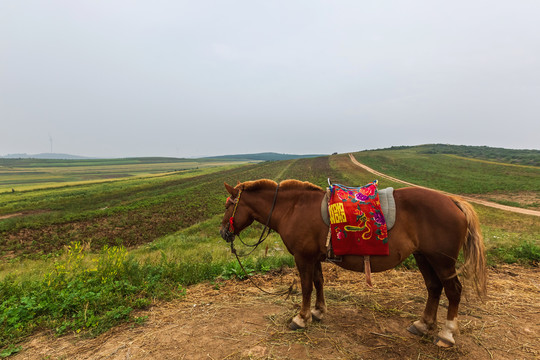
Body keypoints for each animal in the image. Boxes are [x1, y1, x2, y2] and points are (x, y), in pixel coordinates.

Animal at [217, 179, 488, 348]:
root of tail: (453, 202)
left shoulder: (303, 258)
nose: (223, 232)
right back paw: (423, 324)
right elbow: (318, 282)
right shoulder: (314, 257)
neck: (293, 208)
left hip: (443, 261)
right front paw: (318, 311)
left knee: (453, 291)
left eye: (228, 205)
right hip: (424, 257)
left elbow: (306, 287)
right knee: (434, 287)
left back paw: (447, 334)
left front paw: (301, 318)